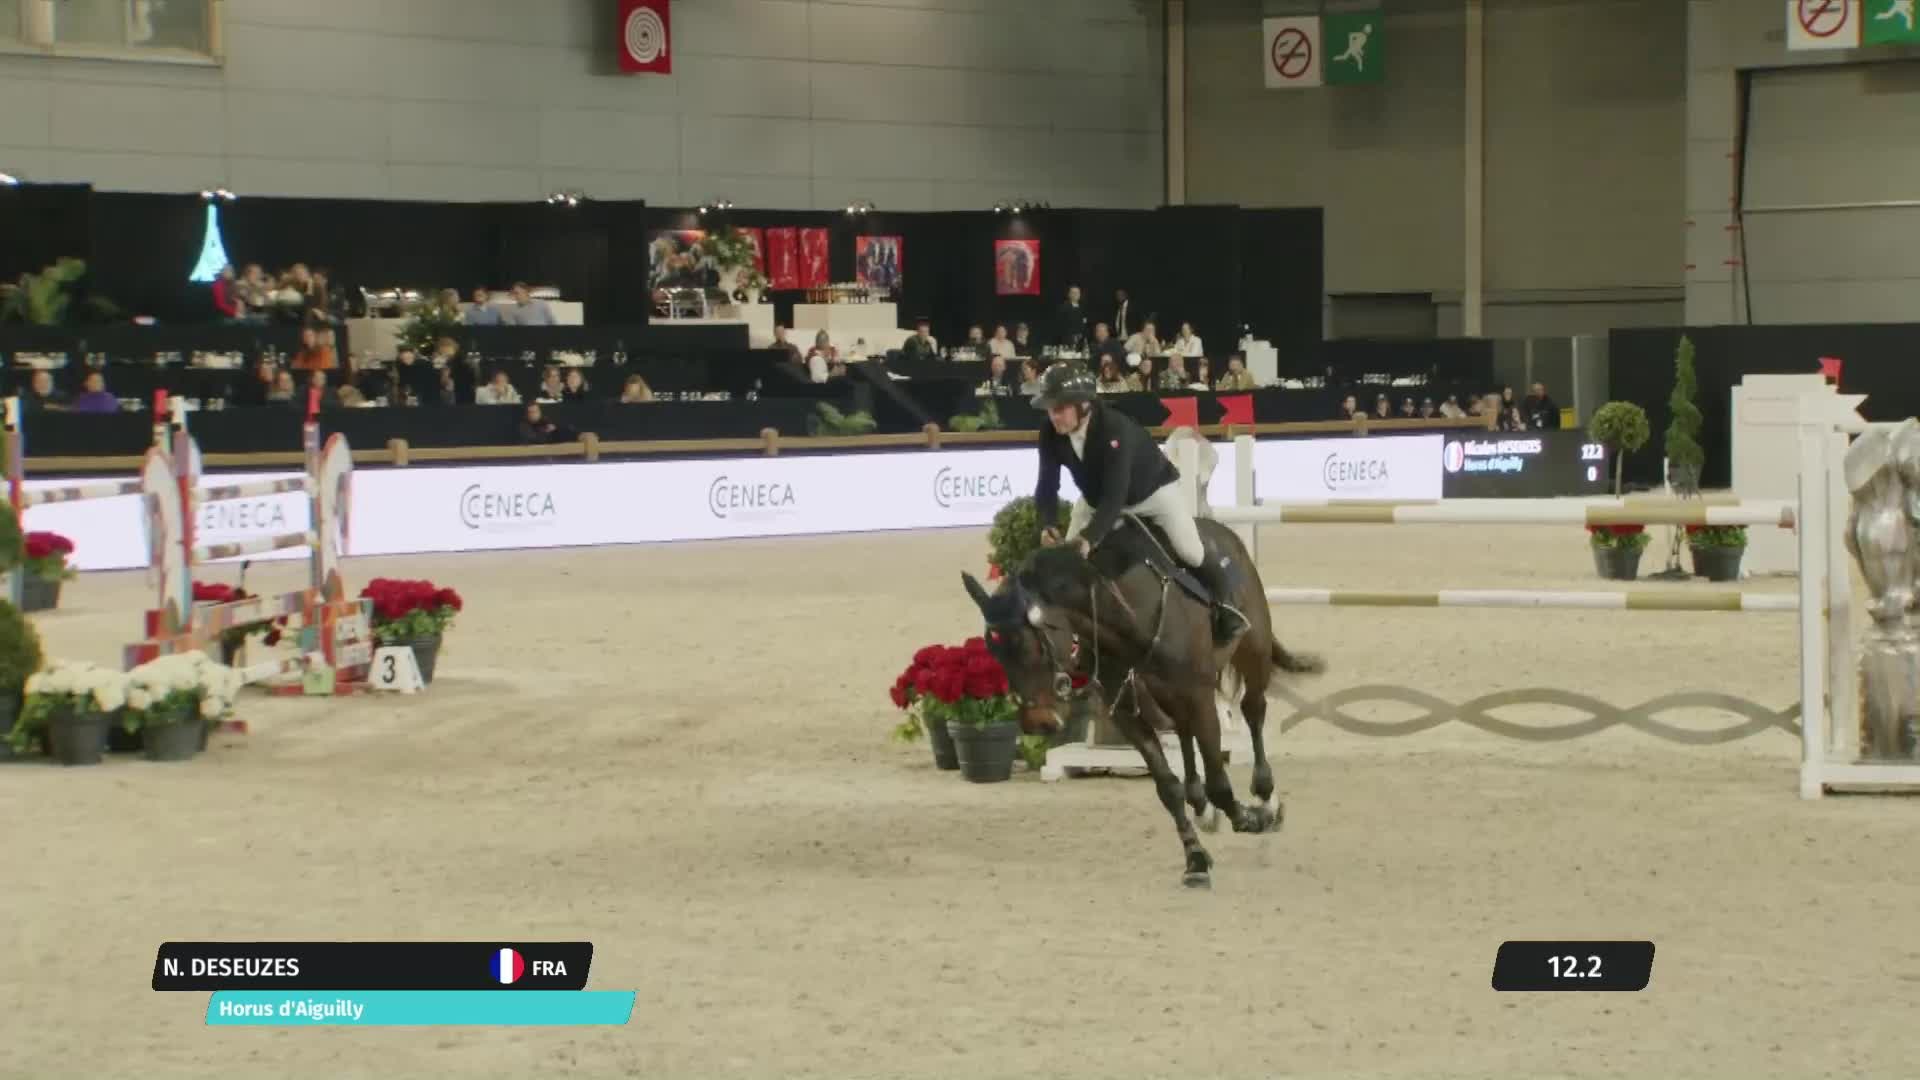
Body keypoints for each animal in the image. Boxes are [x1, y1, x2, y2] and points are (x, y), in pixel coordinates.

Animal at [962, 513, 1324, 889]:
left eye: (1028, 644)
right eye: (994, 652)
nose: (1039, 723)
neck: (1127, 618)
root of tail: (1222, 531)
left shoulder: (1200, 700)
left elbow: (1220, 783)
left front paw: (1250, 819)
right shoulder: (1127, 714)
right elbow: (1167, 787)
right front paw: (1196, 859)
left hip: (1253, 653)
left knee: (1253, 711)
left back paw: (1266, 800)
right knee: (1185, 734)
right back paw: (1202, 806)